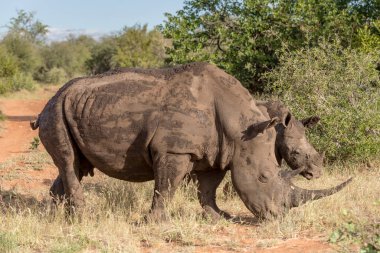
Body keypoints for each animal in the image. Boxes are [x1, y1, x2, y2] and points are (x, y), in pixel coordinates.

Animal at [31, 62, 352, 219]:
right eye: (263, 177)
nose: (279, 216)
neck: (241, 124)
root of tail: (48, 102)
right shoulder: (174, 150)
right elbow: (165, 188)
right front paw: (155, 222)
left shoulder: (221, 151)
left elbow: (208, 189)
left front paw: (219, 217)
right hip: (54, 112)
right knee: (69, 161)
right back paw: (82, 217)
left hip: (73, 109)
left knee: (75, 165)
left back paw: (57, 216)